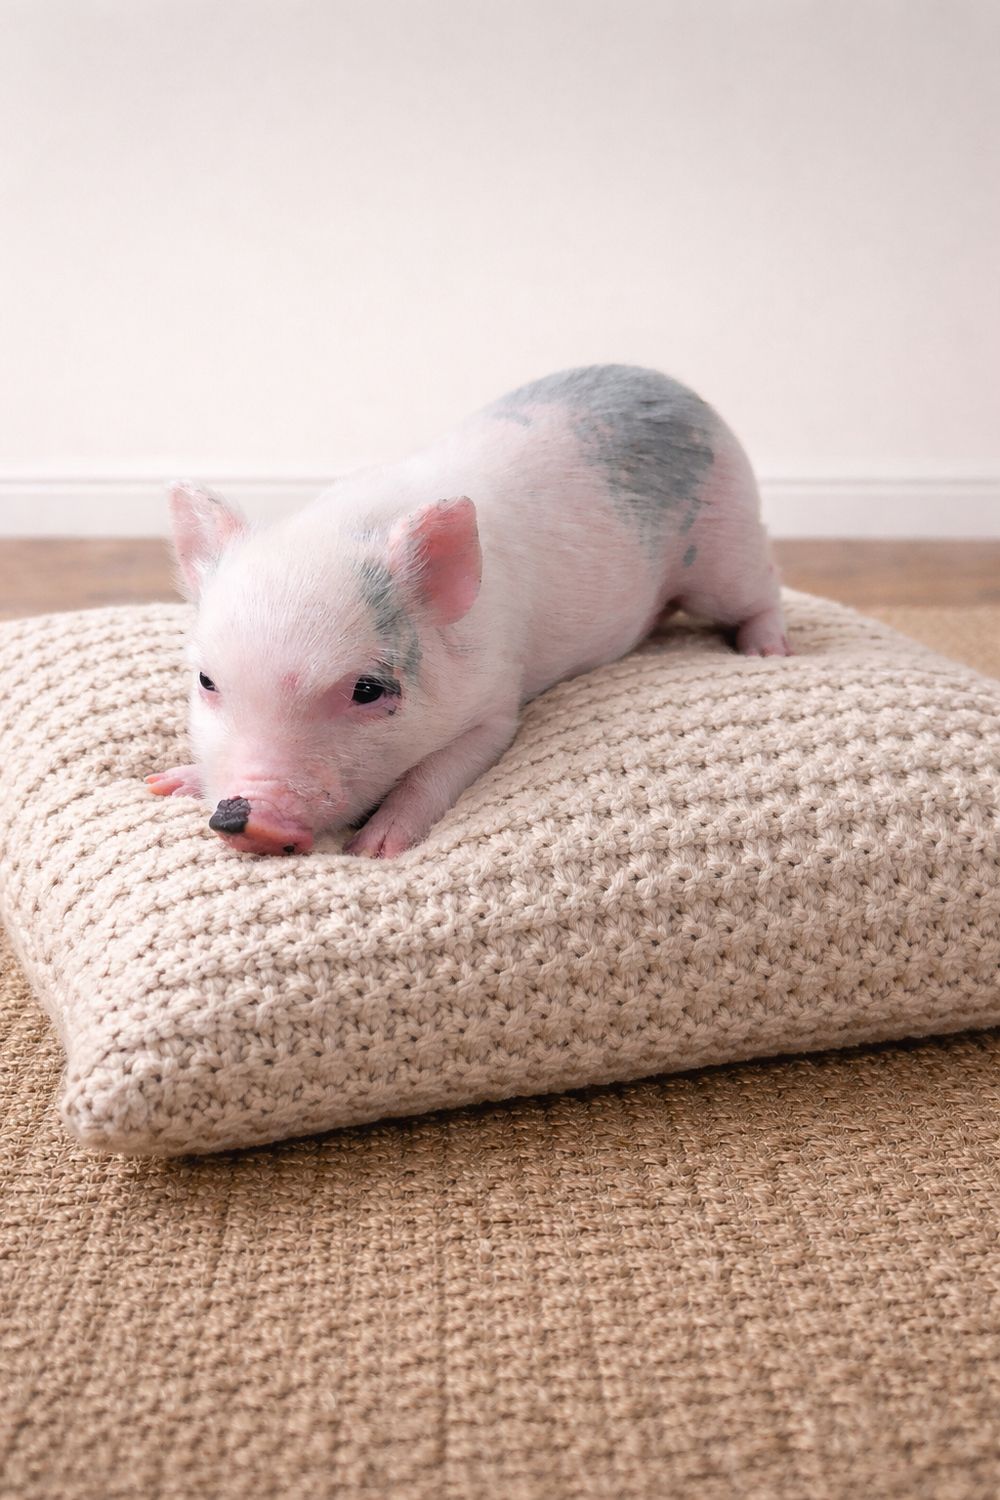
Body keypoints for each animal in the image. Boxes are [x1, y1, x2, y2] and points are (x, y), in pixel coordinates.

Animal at [147, 364, 789, 858]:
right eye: (206, 680)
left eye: (367, 690)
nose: (247, 822)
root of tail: (668, 382)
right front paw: (166, 783)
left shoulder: (496, 701)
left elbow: (440, 770)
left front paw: (375, 849)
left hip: (724, 547)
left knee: (764, 586)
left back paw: (768, 652)